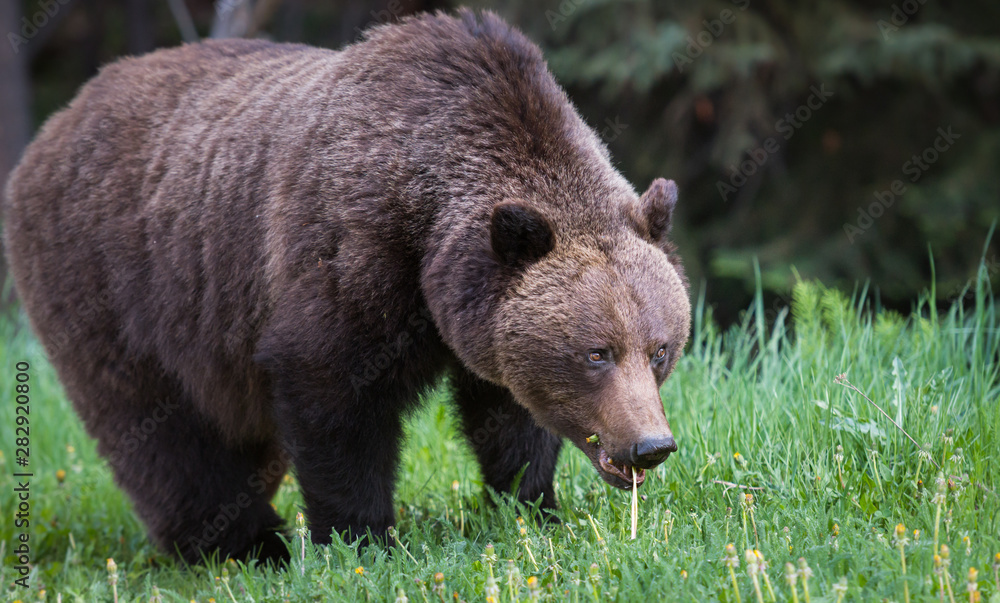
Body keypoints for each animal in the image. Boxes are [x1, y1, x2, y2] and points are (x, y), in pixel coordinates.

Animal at [2, 9, 690, 564]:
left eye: (660, 349)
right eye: (596, 353)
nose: (649, 446)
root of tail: (52, 129)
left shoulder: (480, 310)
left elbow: (508, 414)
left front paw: (533, 508)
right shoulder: (349, 254)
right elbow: (333, 395)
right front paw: (362, 538)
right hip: (116, 281)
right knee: (157, 430)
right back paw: (248, 546)